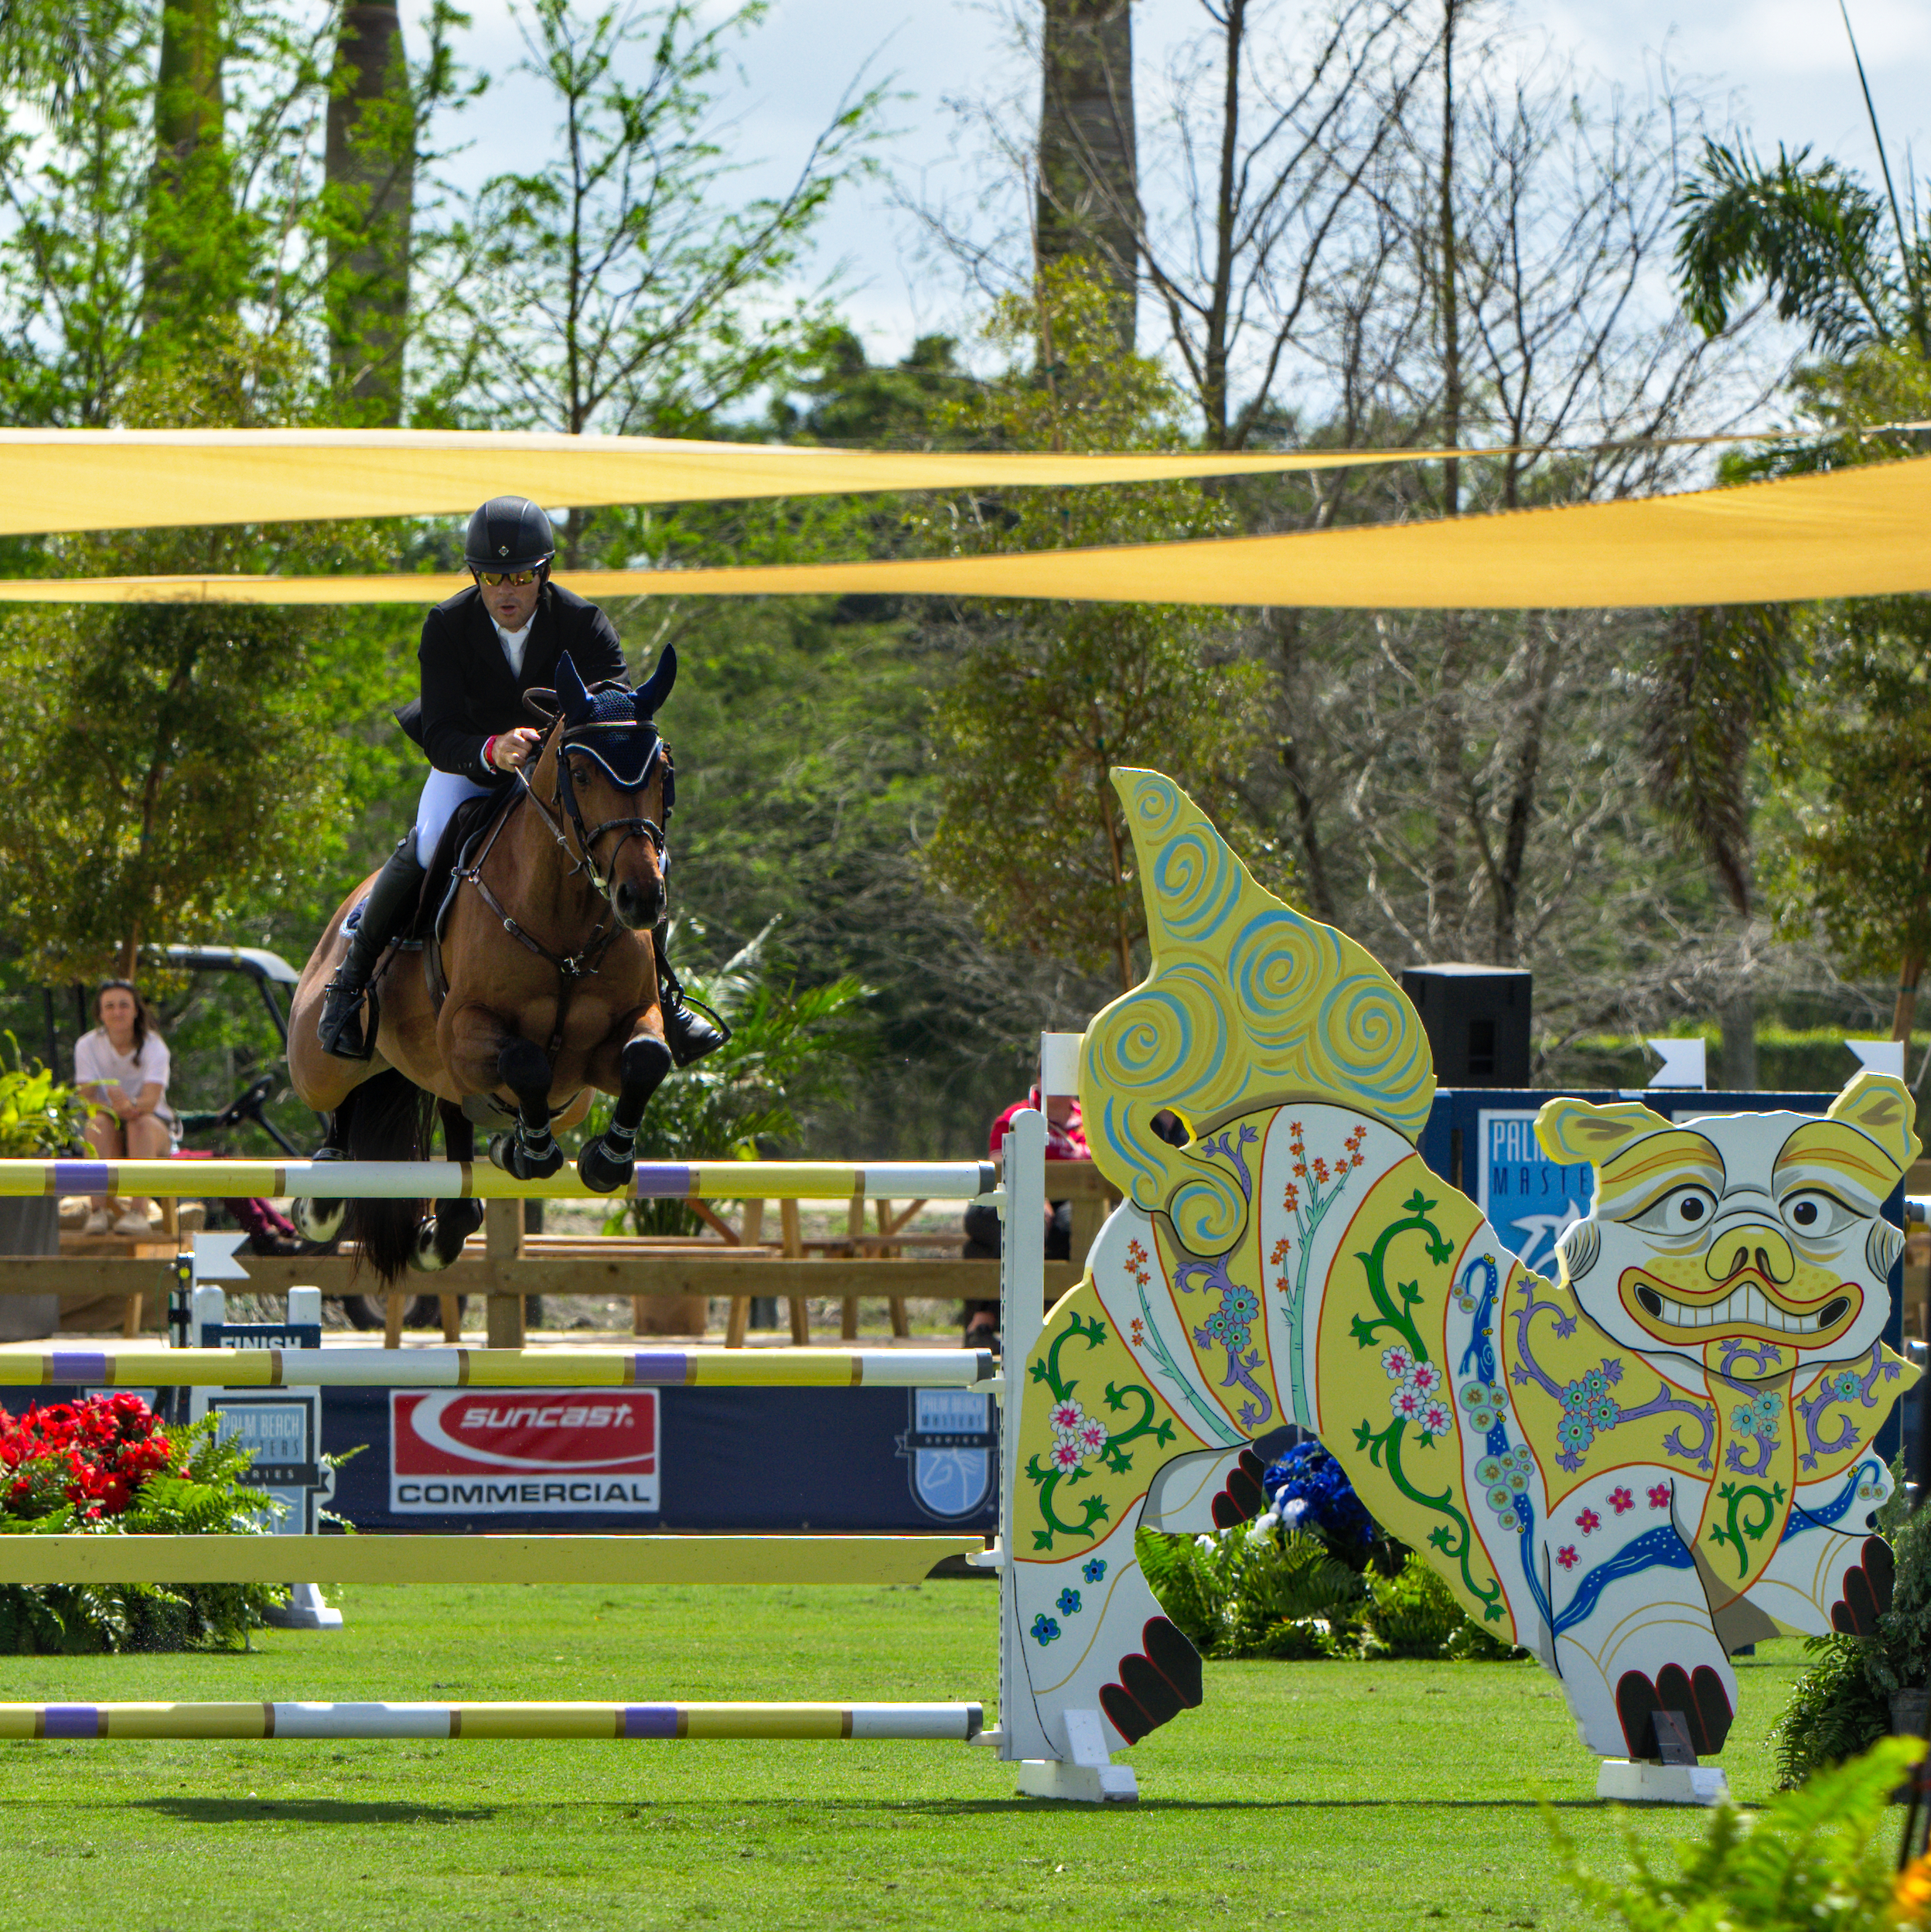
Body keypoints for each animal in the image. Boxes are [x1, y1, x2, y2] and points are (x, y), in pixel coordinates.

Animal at [281, 653, 679, 1282]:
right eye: (580, 775)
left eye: (663, 772)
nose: (640, 899)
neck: (565, 925)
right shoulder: (465, 1027)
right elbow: (525, 1060)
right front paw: (537, 1150)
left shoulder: (613, 1042)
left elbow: (646, 1058)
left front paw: (606, 1159)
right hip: (319, 1064)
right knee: (342, 1097)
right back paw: (324, 1195)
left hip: (523, 1092)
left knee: (460, 1124)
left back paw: (463, 1205)